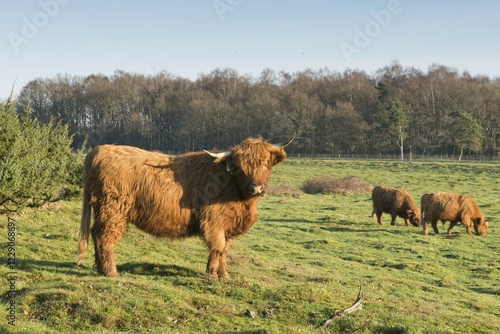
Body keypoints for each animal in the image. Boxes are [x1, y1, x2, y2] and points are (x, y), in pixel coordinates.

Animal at [76, 134, 294, 278]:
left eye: (265, 164)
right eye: (241, 167)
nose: (257, 188)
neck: (240, 196)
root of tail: (99, 150)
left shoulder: (228, 225)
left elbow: (225, 249)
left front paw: (224, 275)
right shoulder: (214, 221)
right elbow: (217, 247)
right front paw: (212, 274)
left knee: (96, 233)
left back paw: (100, 268)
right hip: (113, 209)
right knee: (105, 236)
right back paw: (111, 272)